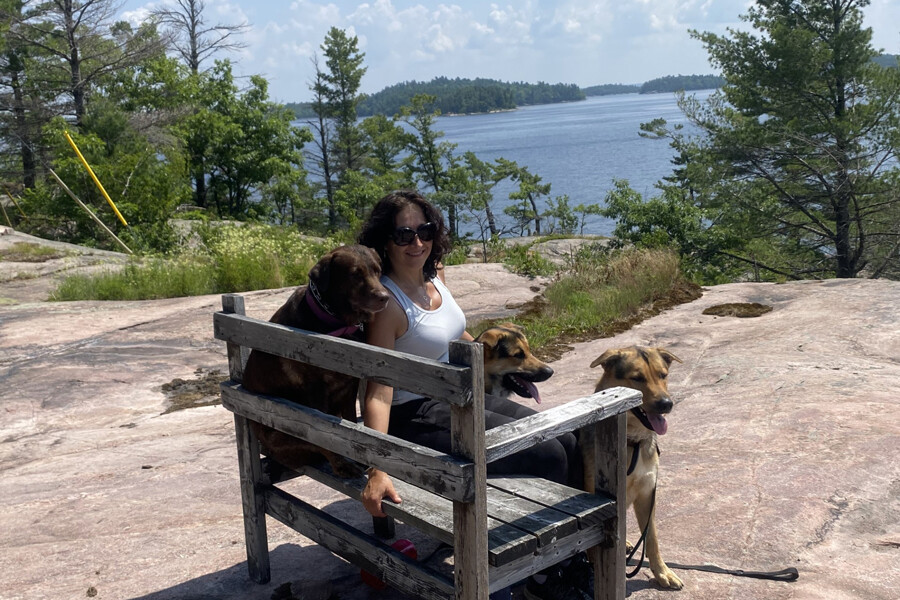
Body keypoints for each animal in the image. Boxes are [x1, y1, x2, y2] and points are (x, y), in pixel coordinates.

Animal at [243, 244, 390, 478]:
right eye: (355, 274)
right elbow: (325, 436)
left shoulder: (350, 386)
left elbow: (349, 425)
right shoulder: (315, 390)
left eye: (378, 271)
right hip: (282, 425)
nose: (384, 297)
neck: (338, 323)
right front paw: (341, 464)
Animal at [592, 344, 684, 588]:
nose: (666, 404)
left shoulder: (646, 495)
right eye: (637, 378)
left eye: (663, 375)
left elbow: (651, 539)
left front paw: (662, 573)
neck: (633, 442)